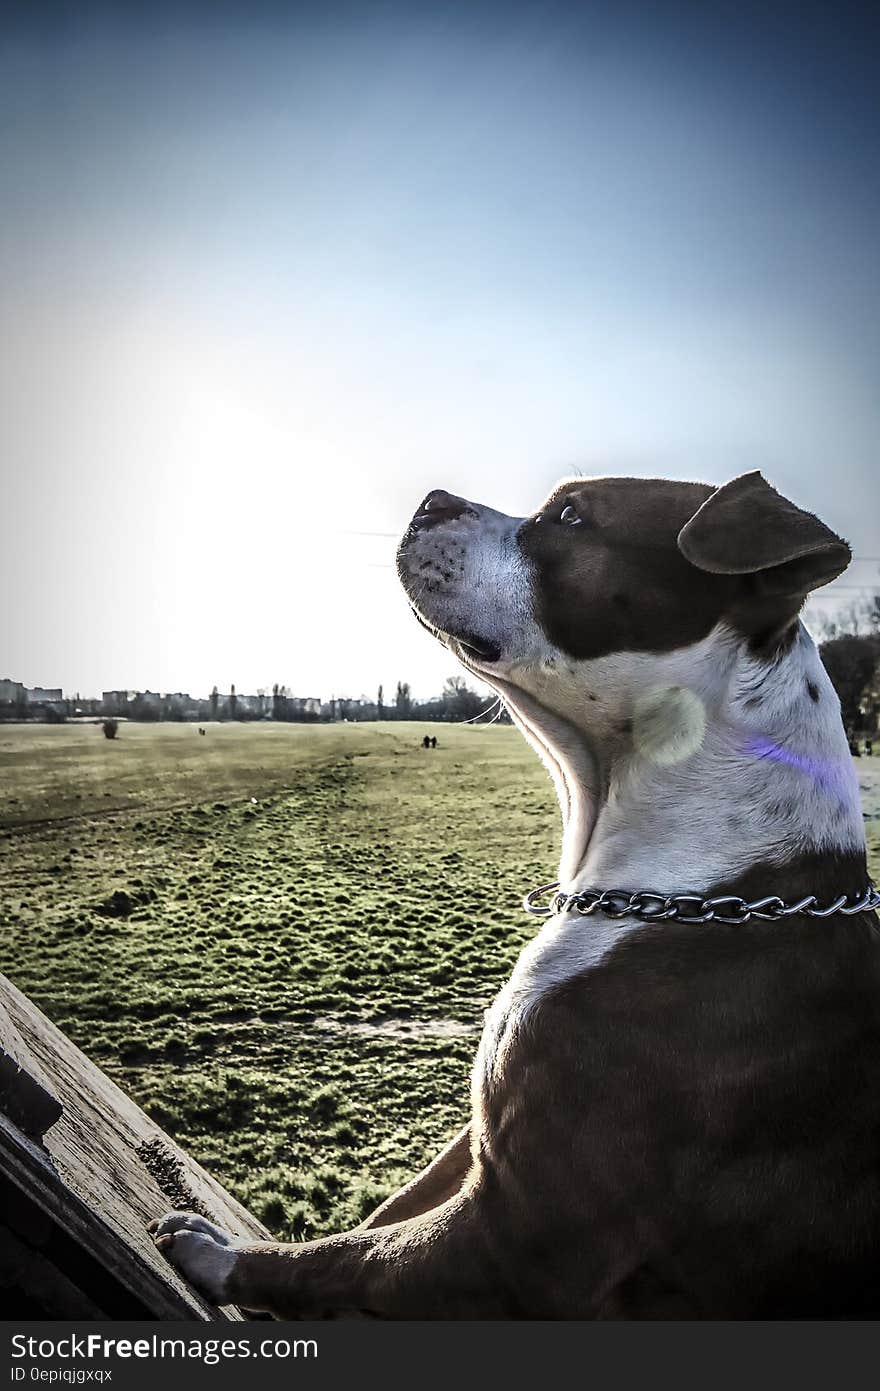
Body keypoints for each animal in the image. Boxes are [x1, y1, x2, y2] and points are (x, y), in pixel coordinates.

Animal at [152, 472, 878, 1318]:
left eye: (569, 514)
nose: (433, 498)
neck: (701, 887)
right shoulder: (478, 1145)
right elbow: (386, 1215)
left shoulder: (521, 1236)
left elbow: (351, 1258)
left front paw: (228, 1256)